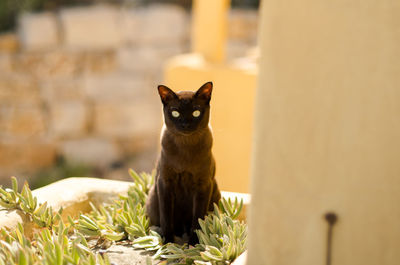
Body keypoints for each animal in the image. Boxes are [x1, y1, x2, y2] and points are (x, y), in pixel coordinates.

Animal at [146, 81, 222, 243]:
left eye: (196, 112)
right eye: (175, 113)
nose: (186, 124)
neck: (185, 148)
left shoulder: (203, 185)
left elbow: (197, 219)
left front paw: (194, 243)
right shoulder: (165, 183)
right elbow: (166, 217)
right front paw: (168, 242)